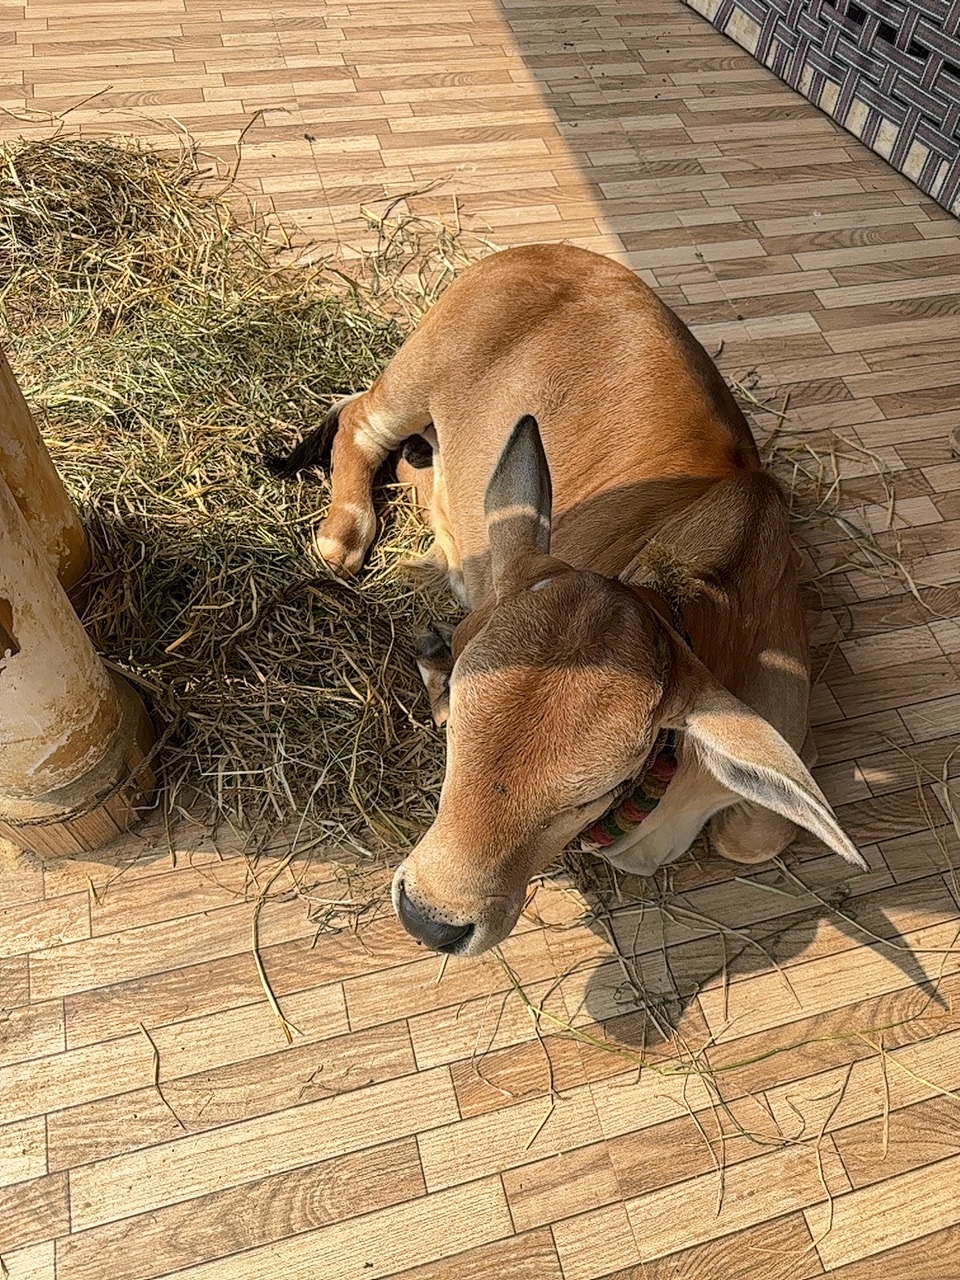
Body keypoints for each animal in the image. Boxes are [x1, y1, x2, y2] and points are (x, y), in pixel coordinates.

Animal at [269, 243, 864, 957]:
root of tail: (551, 250)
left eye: (594, 793)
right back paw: (345, 533)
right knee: (358, 417)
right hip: (414, 377)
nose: (430, 919)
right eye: (459, 722)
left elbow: (749, 836)